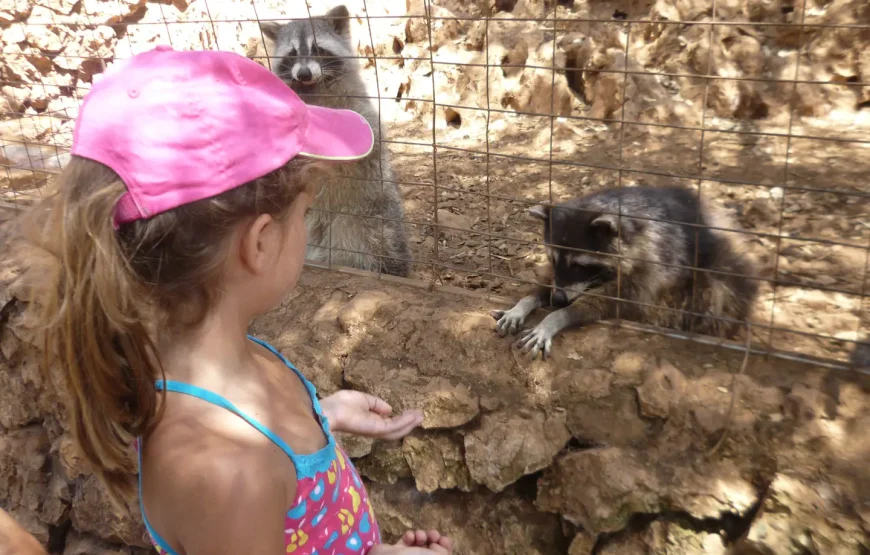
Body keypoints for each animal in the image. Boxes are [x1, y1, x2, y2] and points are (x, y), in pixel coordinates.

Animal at [258, 4, 412, 278]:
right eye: (292, 54)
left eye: (318, 49)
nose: (304, 74)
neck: (315, 88)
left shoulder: (357, 105)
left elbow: (368, 138)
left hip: (369, 215)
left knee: (376, 239)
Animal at [494, 186, 760, 360]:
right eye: (552, 258)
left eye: (578, 266)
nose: (558, 300)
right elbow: (548, 283)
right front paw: (527, 301)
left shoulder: (652, 267)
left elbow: (612, 303)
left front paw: (557, 317)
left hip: (722, 275)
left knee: (714, 291)